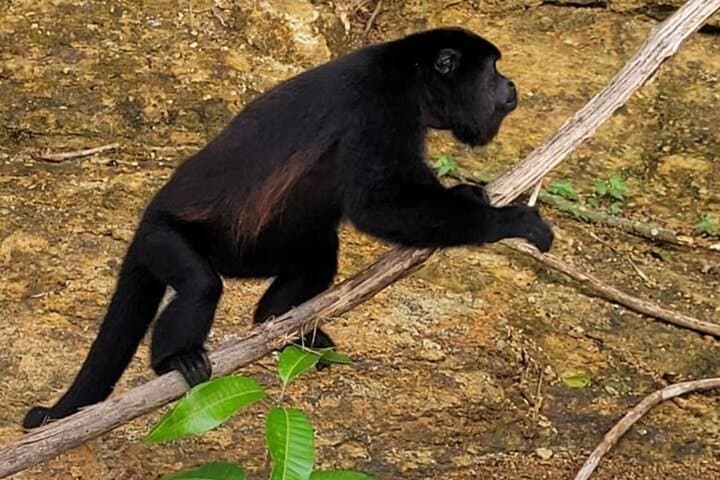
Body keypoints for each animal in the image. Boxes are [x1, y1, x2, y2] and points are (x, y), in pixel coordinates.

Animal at [23, 27, 553, 429]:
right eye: (492, 70)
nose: (511, 85)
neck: (414, 77)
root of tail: (143, 218)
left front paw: (470, 193)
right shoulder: (382, 106)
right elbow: (378, 204)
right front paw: (509, 221)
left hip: (254, 248)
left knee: (319, 250)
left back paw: (281, 325)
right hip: (163, 236)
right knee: (200, 284)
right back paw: (173, 360)